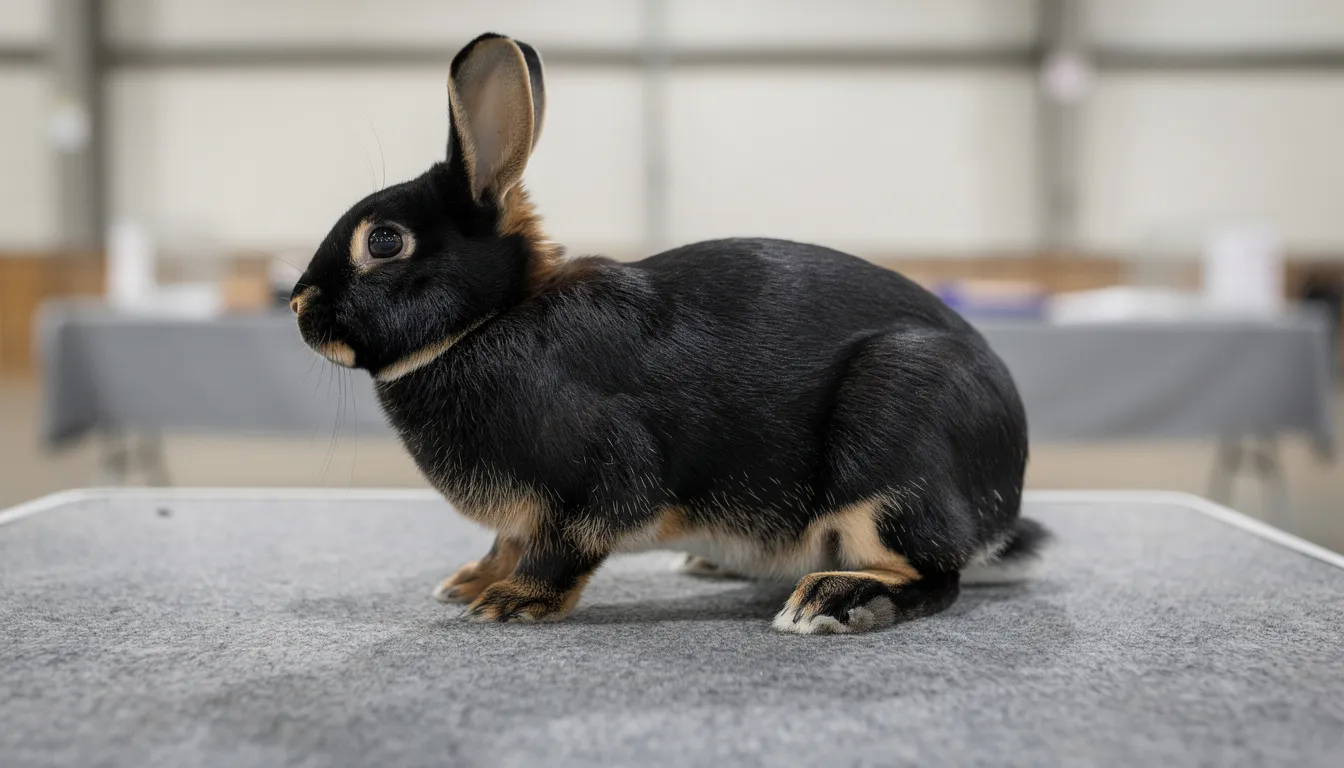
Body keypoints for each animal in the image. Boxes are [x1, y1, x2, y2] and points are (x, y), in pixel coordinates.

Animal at [290, 32, 1049, 634]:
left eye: (384, 241)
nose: (298, 304)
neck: (490, 319)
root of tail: (1002, 496)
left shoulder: (603, 478)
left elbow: (561, 547)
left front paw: (511, 601)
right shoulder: (521, 514)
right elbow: (507, 540)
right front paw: (472, 581)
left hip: (893, 442)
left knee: (934, 575)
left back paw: (835, 601)